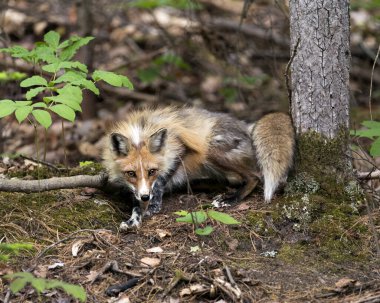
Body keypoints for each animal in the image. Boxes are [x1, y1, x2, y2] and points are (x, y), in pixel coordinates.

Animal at [102, 108, 296, 229]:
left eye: (152, 172)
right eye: (131, 174)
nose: (145, 197)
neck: (140, 132)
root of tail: (245, 126)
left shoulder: (180, 149)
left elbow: (160, 183)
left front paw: (153, 206)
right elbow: (135, 205)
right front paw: (133, 219)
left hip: (209, 150)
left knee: (255, 176)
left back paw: (231, 199)